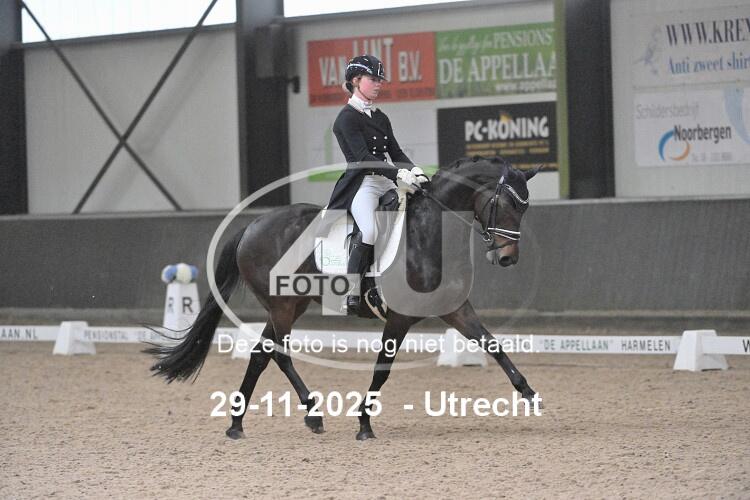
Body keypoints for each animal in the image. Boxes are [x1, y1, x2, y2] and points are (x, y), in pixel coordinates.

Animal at [146, 156, 541, 441]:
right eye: (507, 203)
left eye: (524, 208)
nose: (508, 257)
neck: (429, 235)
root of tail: (253, 226)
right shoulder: (399, 318)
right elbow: (382, 368)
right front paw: (364, 424)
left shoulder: (455, 309)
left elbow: (493, 345)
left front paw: (530, 395)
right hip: (282, 305)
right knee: (279, 354)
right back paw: (311, 414)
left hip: (291, 304)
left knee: (261, 354)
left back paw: (237, 423)